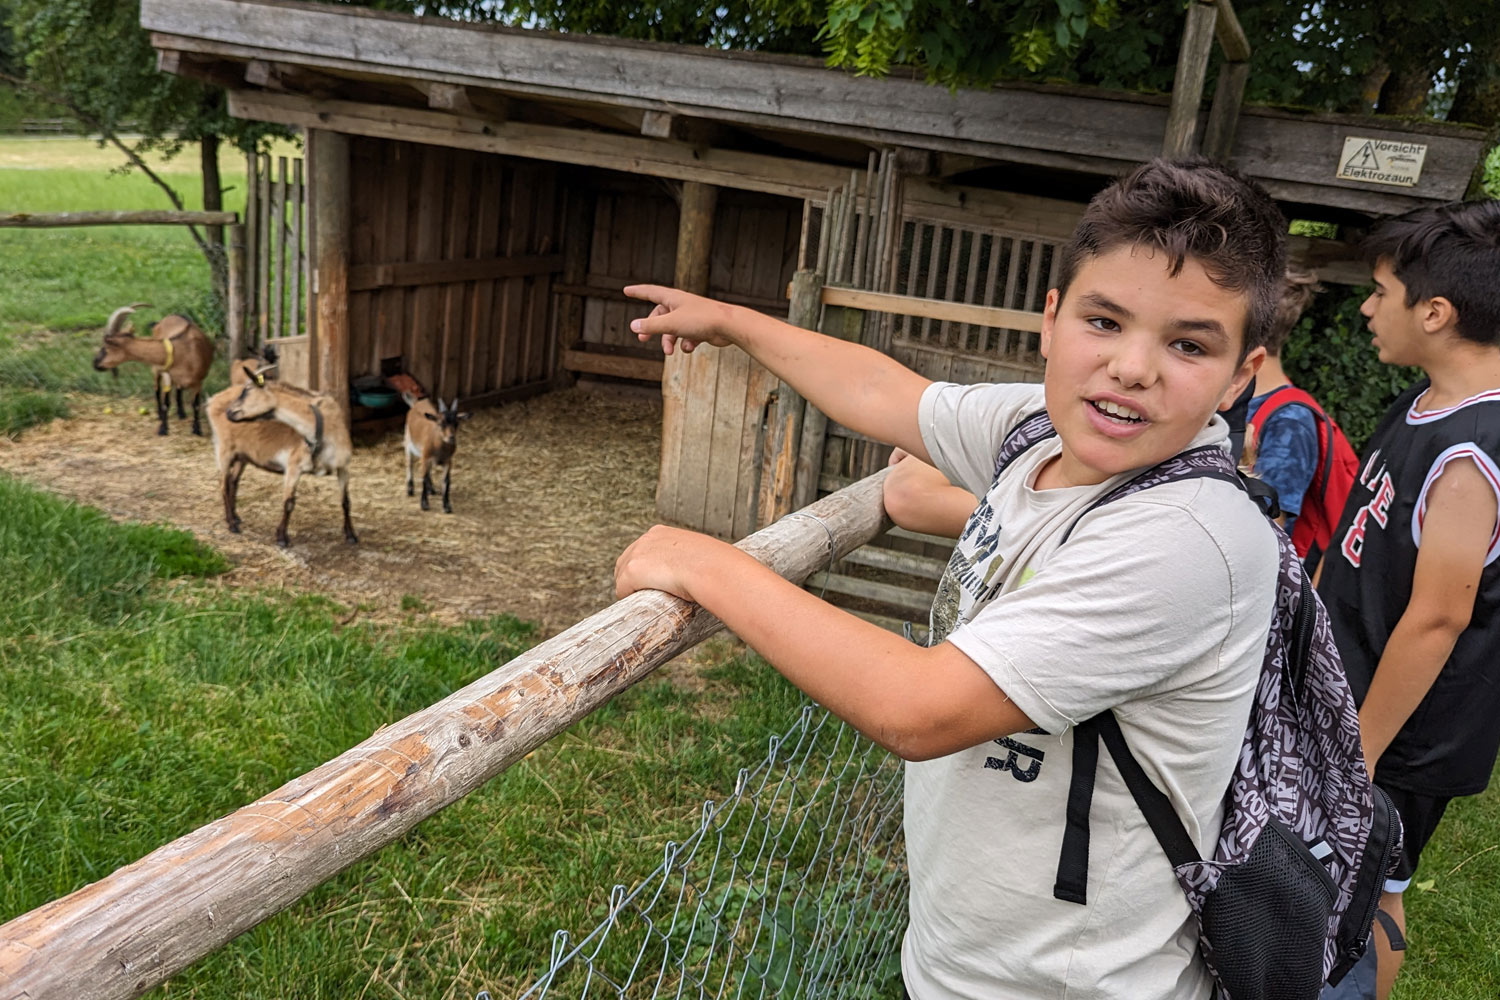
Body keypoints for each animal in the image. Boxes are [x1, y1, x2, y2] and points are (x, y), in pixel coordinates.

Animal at [207, 371, 358, 551]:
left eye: (247, 390)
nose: (230, 412)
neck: (322, 426)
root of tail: (212, 401)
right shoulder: (294, 466)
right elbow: (288, 503)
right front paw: (281, 538)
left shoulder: (343, 467)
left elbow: (346, 502)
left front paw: (351, 535)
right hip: (224, 449)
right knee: (223, 483)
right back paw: (232, 524)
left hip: (242, 455)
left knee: (232, 481)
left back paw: (236, 517)